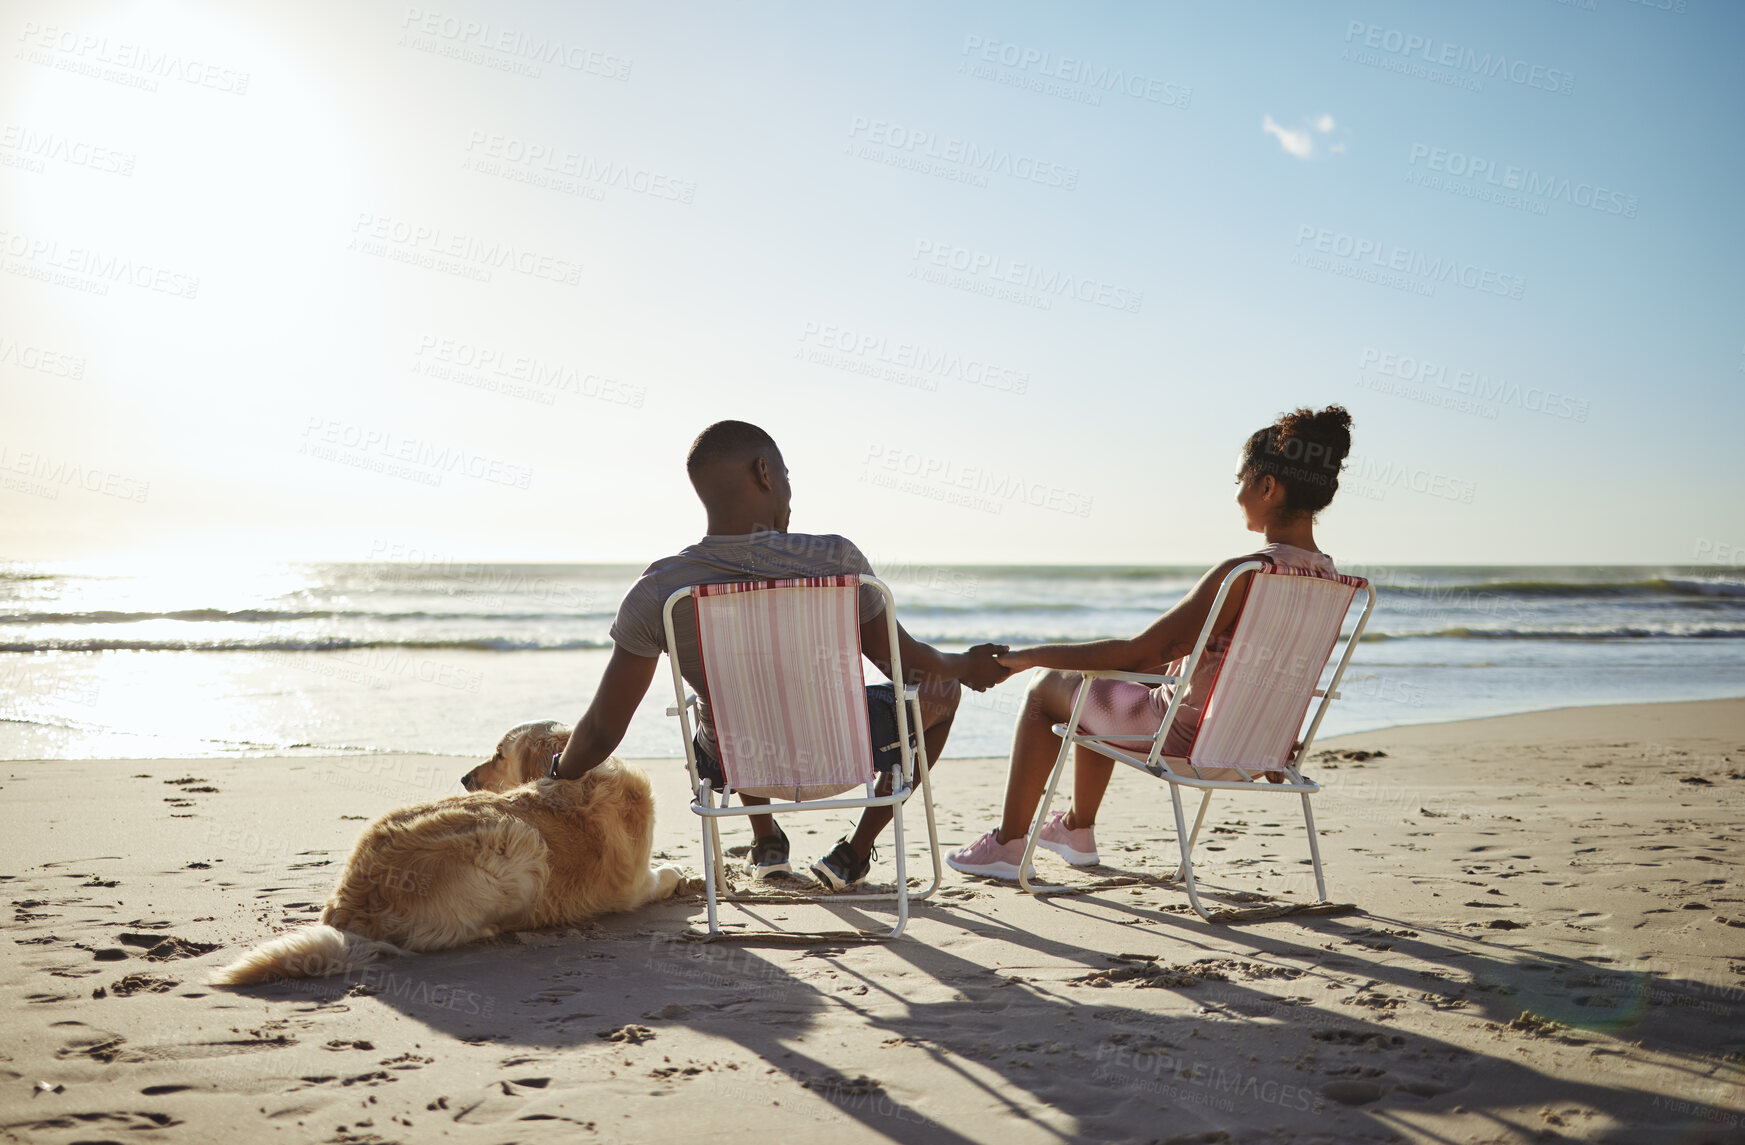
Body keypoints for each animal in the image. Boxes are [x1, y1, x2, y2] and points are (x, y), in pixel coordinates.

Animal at [209, 726, 680, 984]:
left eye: (498, 754)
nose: (465, 777)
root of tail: (350, 908)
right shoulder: (635, 886)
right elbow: (666, 874)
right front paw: (680, 874)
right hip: (520, 840)